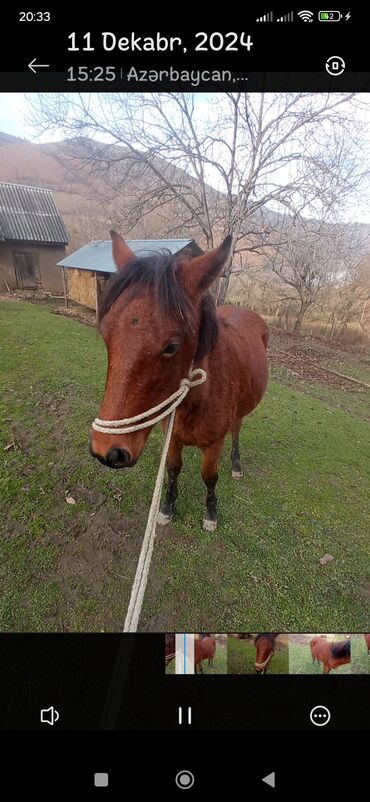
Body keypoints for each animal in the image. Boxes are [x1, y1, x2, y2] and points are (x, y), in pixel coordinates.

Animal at [89, 231, 268, 532]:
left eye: (171, 347)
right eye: (105, 334)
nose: (107, 451)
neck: (197, 399)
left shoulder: (214, 444)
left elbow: (210, 477)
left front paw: (211, 513)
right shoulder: (171, 436)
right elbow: (173, 469)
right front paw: (168, 506)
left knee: (236, 430)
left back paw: (236, 464)